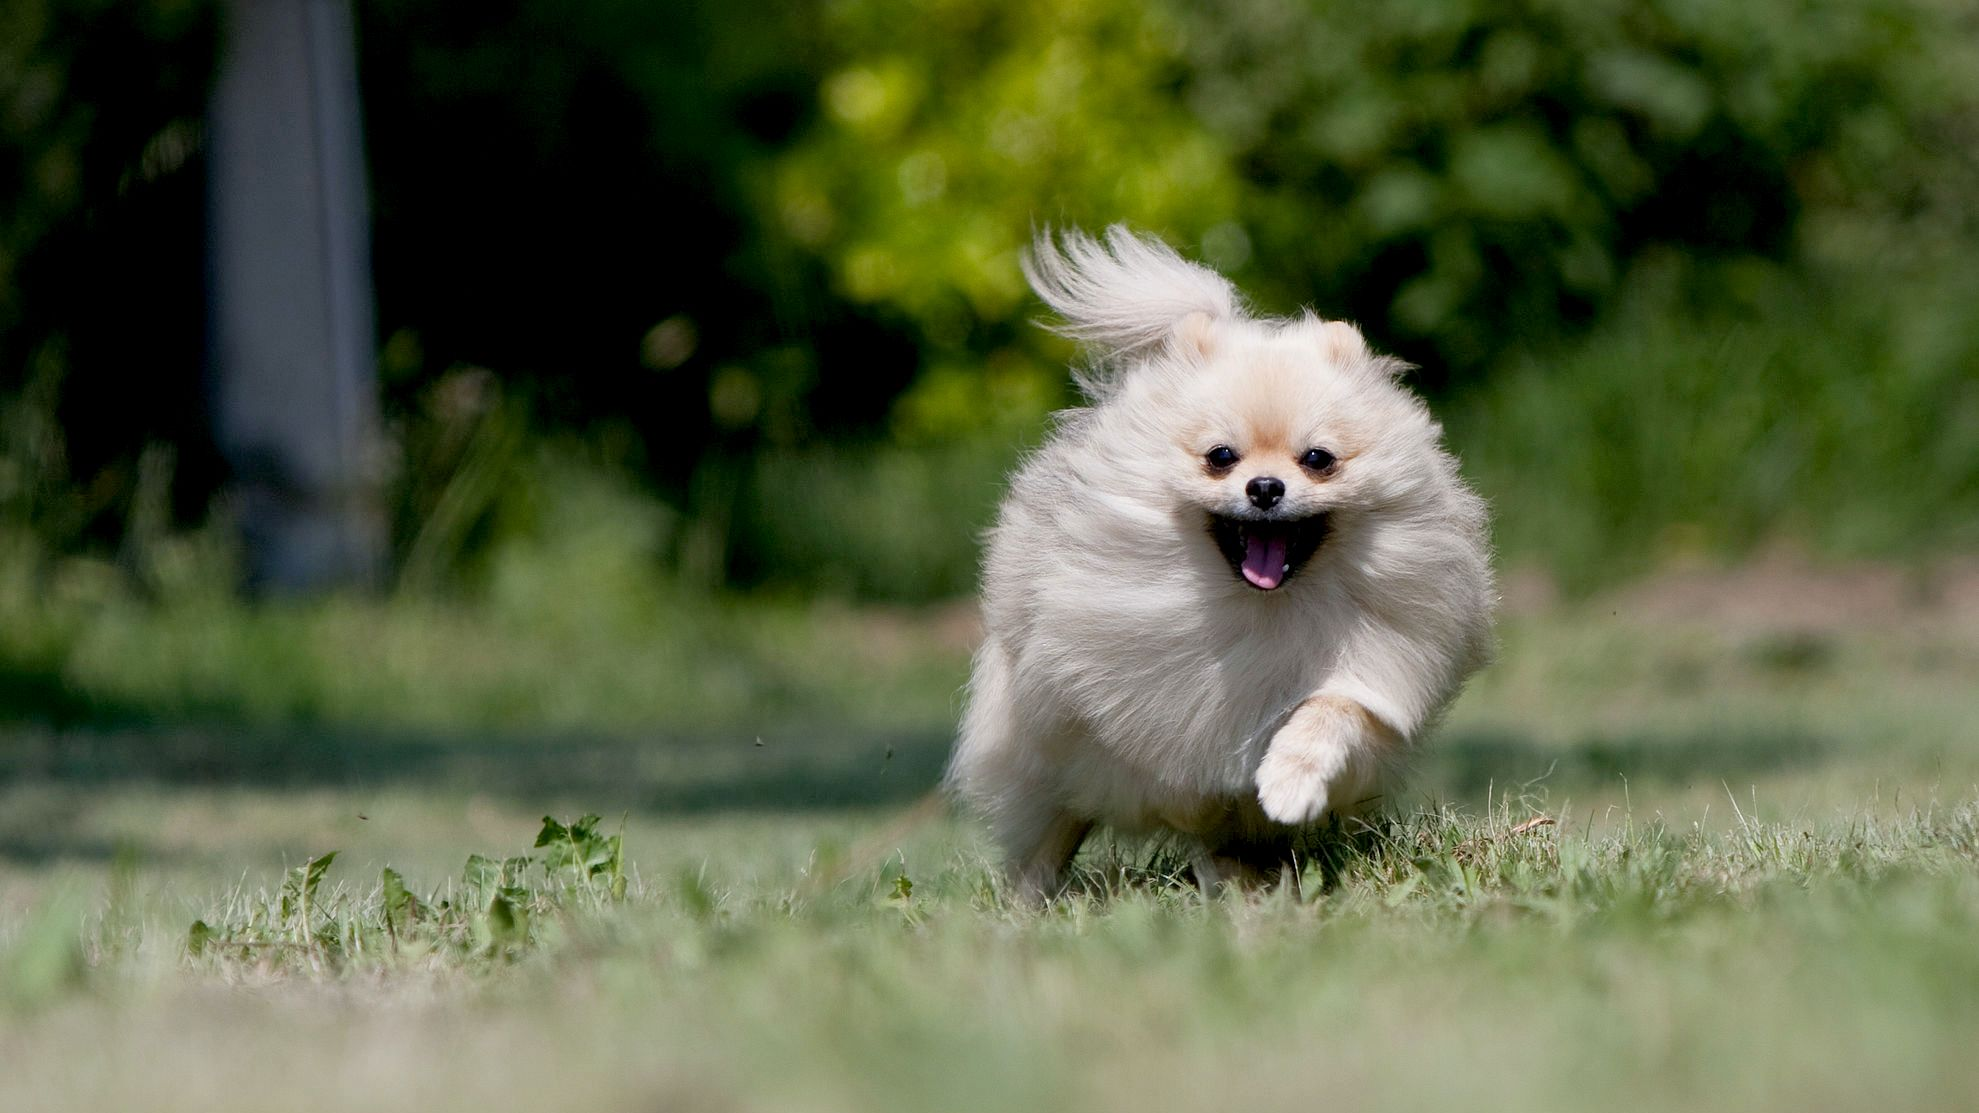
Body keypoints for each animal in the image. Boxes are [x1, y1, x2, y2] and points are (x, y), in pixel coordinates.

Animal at [949, 227, 1488, 903]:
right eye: (1221, 456)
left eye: (1318, 459)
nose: (1264, 487)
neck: (1262, 610)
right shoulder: (1141, 711)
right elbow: (1180, 777)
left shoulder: (1372, 676)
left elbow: (1328, 716)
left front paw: (1287, 785)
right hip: (1041, 759)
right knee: (1049, 835)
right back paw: (1029, 903)